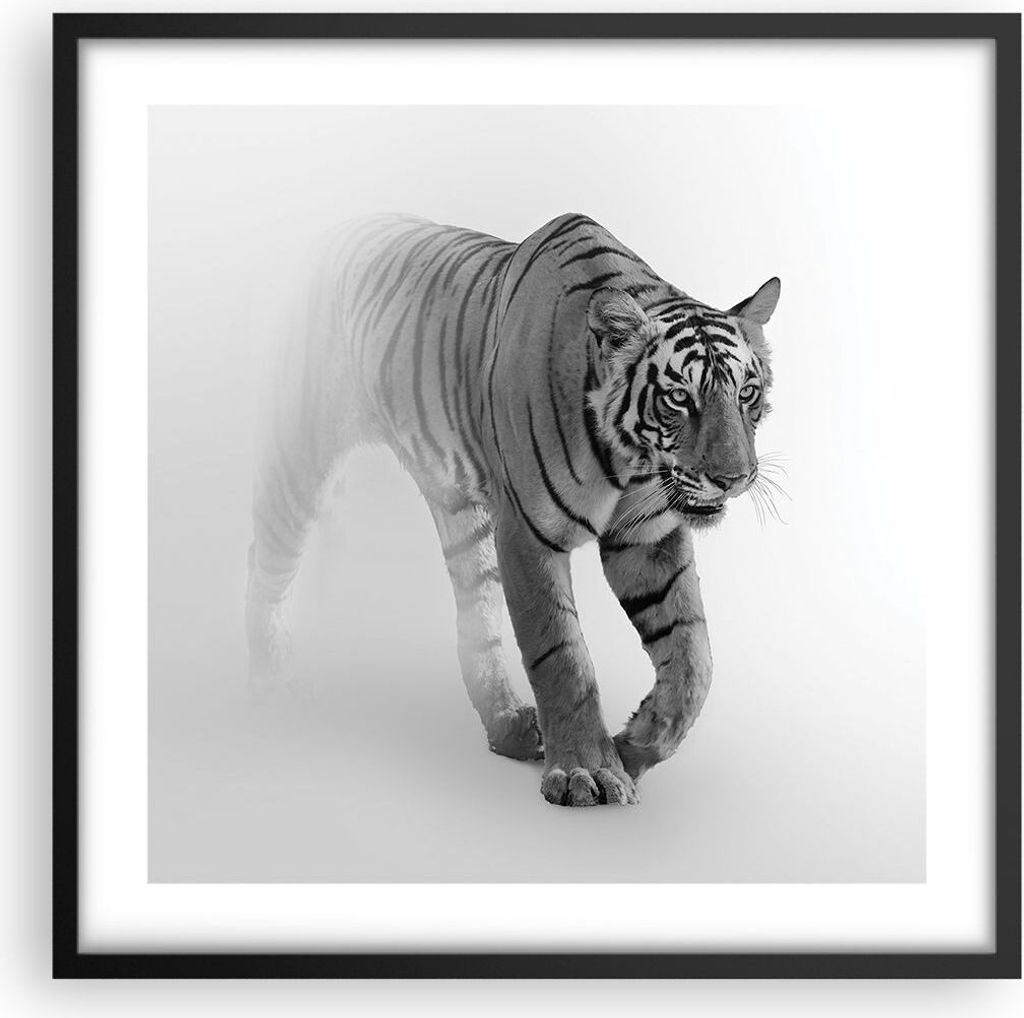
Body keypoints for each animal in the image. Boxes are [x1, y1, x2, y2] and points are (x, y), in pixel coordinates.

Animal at [246, 212, 780, 807]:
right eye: (680, 397)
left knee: (475, 621)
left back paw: (508, 727)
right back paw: (266, 680)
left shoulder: (646, 536)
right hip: (301, 449)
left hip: (461, 514)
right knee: (265, 559)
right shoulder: (527, 532)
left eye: (747, 393)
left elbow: (693, 657)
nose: (733, 479)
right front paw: (587, 772)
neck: (629, 460)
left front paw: (635, 746)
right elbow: (562, 654)